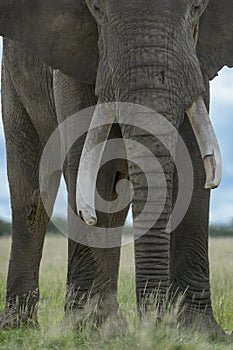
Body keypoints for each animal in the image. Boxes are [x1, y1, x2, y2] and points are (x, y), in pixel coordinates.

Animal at [0, 0, 232, 334]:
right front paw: (83, 329)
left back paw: (113, 326)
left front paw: (200, 331)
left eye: (198, 7)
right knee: (30, 197)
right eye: (97, 8)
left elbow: (192, 161)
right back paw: (20, 327)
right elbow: (87, 158)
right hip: (12, 82)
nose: (155, 324)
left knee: (114, 201)